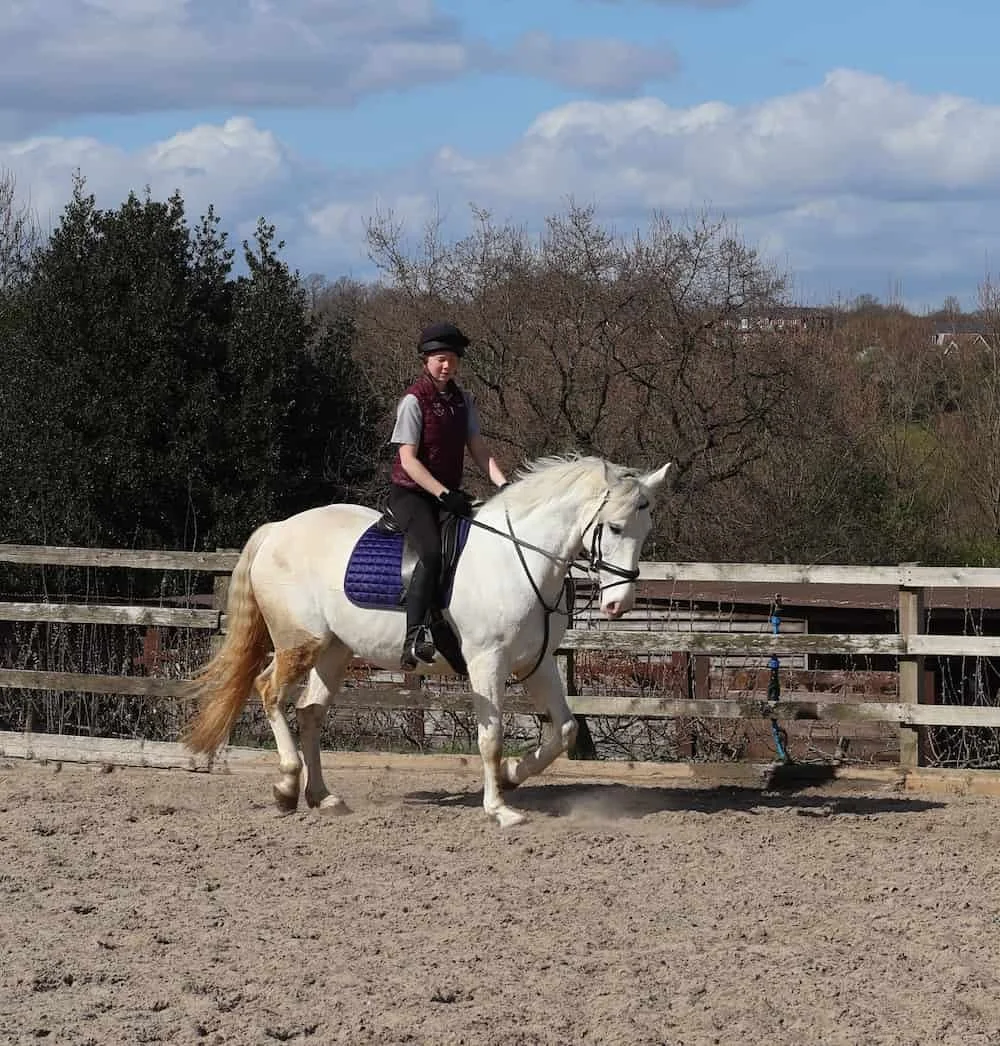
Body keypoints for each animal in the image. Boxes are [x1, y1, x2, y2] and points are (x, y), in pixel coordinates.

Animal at [183, 454, 671, 827]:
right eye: (614, 527)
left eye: (645, 529)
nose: (619, 605)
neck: (518, 560)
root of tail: (278, 529)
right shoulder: (487, 663)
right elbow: (490, 737)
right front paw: (500, 808)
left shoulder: (539, 662)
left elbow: (566, 729)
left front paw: (513, 773)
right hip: (300, 642)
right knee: (269, 691)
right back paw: (286, 785)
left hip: (335, 651)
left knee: (310, 712)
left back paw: (324, 797)